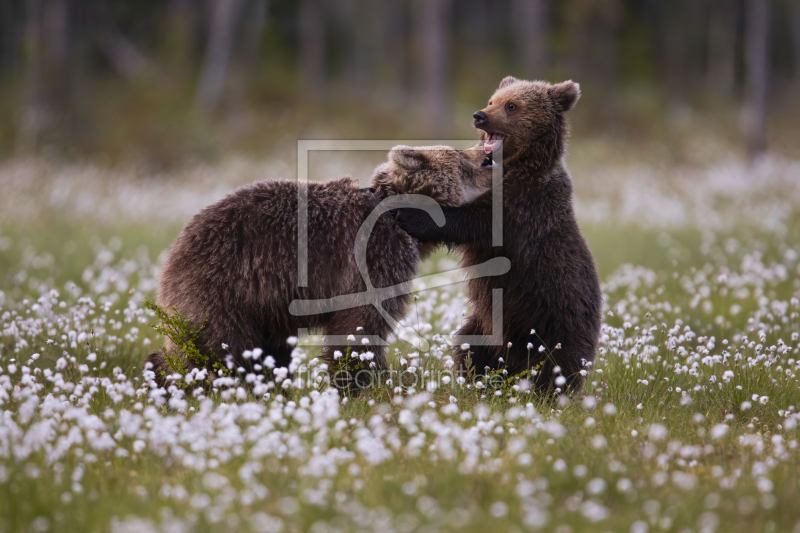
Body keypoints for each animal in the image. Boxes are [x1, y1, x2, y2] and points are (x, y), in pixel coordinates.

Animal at [147, 145, 490, 386]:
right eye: (462, 158)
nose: (487, 157)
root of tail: (176, 247)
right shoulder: (371, 260)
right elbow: (360, 323)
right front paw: (362, 382)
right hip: (223, 286)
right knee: (216, 346)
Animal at [396, 77, 604, 392]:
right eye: (493, 100)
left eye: (512, 105)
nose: (479, 116)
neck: (515, 167)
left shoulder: (524, 207)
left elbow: (471, 222)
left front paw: (411, 212)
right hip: (487, 324)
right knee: (470, 344)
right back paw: (478, 380)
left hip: (553, 320)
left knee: (554, 366)